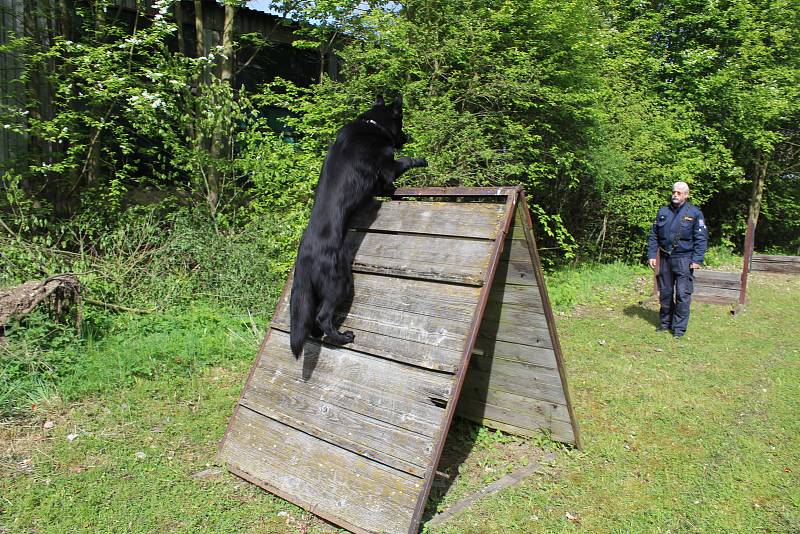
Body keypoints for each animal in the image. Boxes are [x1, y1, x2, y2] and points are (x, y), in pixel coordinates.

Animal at [290, 97, 428, 360]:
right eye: (402, 123)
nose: (407, 136)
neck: (371, 124)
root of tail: (306, 257)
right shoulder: (387, 167)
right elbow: (402, 163)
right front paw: (419, 160)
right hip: (341, 283)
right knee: (323, 316)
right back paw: (343, 338)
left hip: (312, 291)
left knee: (313, 319)